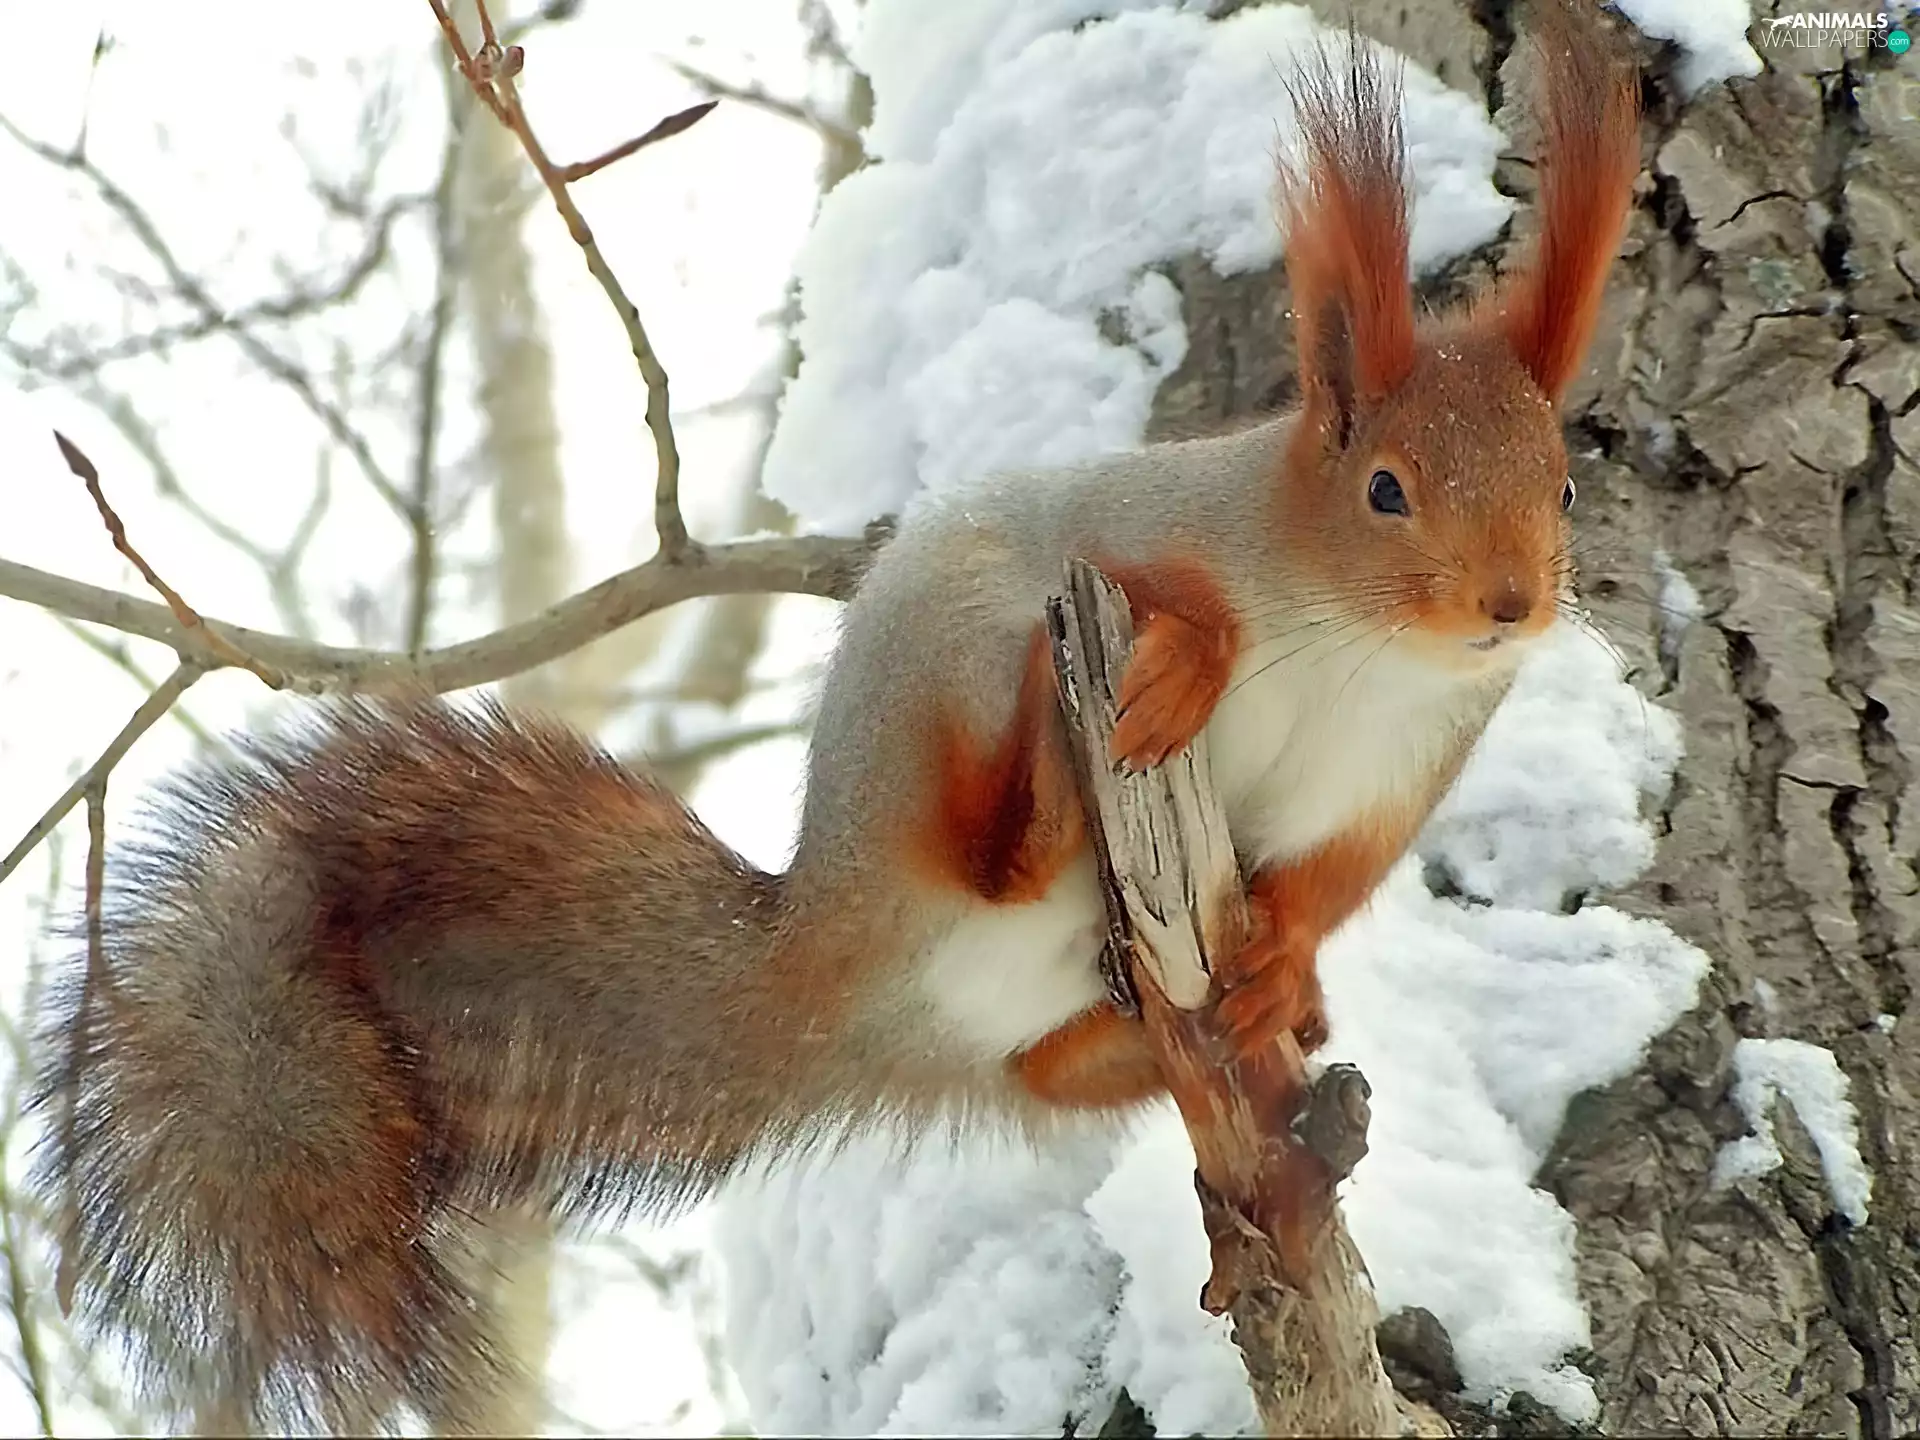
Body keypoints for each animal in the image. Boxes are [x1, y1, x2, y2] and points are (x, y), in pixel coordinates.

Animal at [30, 2, 1640, 1433]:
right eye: (1386, 491)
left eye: (1565, 483)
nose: (1511, 605)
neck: (1367, 650)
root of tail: (830, 957)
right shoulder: (1141, 529)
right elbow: (1179, 594)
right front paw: (1194, 651)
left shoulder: (1403, 769)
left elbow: (1325, 886)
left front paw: (1283, 972)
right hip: (946, 663)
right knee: (984, 845)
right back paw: (1048, 775)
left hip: (1042, 1010)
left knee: (1053, 1063)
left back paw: (1243, 1052)